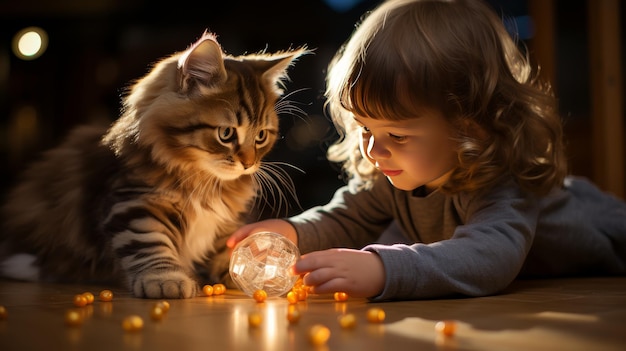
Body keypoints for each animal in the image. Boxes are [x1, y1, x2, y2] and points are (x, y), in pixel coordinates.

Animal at [0, 31, 308, 298]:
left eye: (261, 136)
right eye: (226, 134)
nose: (248, 164)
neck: (204, 180)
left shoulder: (225, 220)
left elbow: (227, 247)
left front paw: (252, 269)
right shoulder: (134, 202)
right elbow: (150, 243)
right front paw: (165, 280)